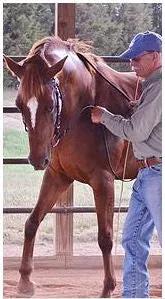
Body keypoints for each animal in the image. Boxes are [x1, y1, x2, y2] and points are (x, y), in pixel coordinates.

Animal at [3, 36, 141, 298]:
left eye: (50, 104)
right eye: (19, 104)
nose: (37, 159)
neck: (85, 109)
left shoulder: (103, 181)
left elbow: (105, 237)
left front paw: (108, 287)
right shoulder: (58, 176)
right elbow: (32, 222)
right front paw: (25, 281)